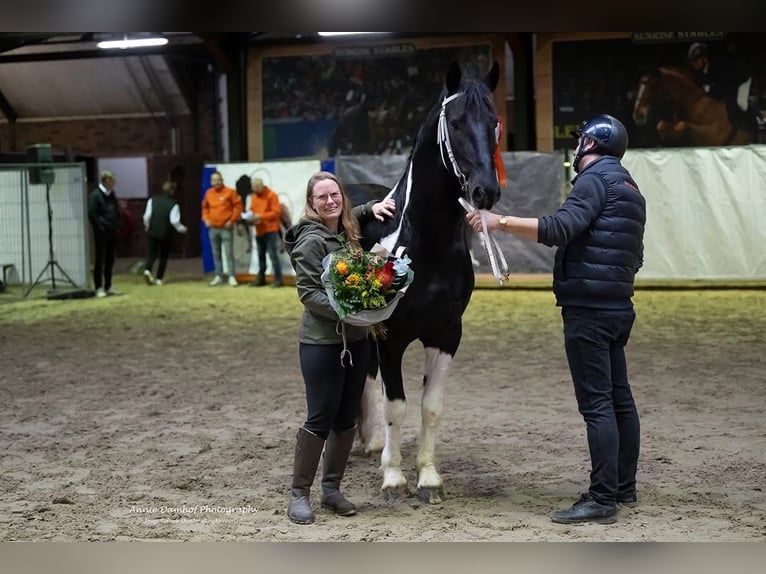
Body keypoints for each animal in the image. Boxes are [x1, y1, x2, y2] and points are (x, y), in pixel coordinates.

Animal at [354, 62, 504, 504]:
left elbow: (430, 406)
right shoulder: (390, 335)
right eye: (455, 123)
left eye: (494, 122)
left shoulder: (446, 333)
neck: (427, 239)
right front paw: (393, 477)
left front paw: (429, 477)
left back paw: (372, 443)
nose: (485, 191)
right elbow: (397, 405)